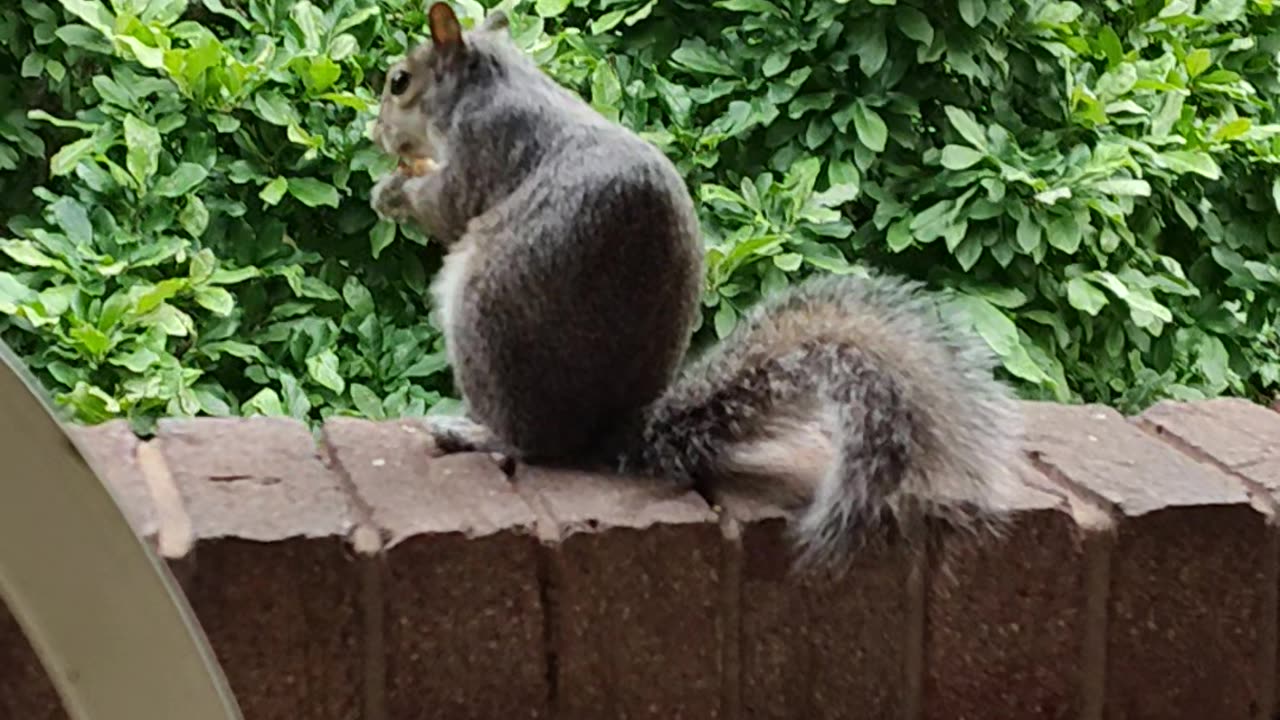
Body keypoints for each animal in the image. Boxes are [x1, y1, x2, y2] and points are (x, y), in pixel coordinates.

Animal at [369, 2, 1022, 570]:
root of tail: (604, 431)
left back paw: (472, 431)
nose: (377, 134)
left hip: (481, 312)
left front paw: (392, 191)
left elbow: (446, 206)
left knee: (528, 445)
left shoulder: (483, 147)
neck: (490, 82)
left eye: (399, 82)